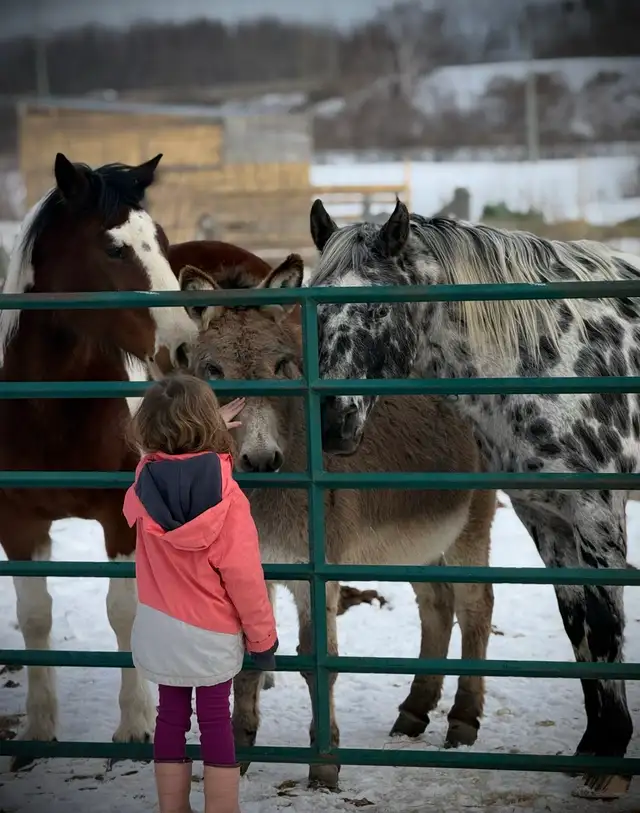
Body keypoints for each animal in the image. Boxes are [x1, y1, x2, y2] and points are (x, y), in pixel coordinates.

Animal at [0, 153, 199, 770]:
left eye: (161, 241)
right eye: (113, 249)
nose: (185, 347)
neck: (51, 408)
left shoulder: (120, 518)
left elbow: (124, 613)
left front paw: (135, 727)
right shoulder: (19, 524)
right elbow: (35, 615)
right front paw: (38, 727)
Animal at [176, 256, 496, 789]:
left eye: (282, 365)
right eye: (212, 369)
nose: (261, 461)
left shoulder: (316, 575)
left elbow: (316, 659)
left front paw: (324, 767)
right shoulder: (253, 571)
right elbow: (248, 662)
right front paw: (237, 756)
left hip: (470, 525)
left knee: (476, 606)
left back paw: (463, 720)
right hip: (416, 545)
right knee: (436, 606)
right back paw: (414, 711)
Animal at [293, 198, 640, 799]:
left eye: (377, 308)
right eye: (314, 310)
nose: (332, 426)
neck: (550, 358)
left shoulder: (597, 514)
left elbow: (603, 625)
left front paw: (611, 760)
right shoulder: (547, 519)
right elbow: (577, 627)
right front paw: (592, 747)